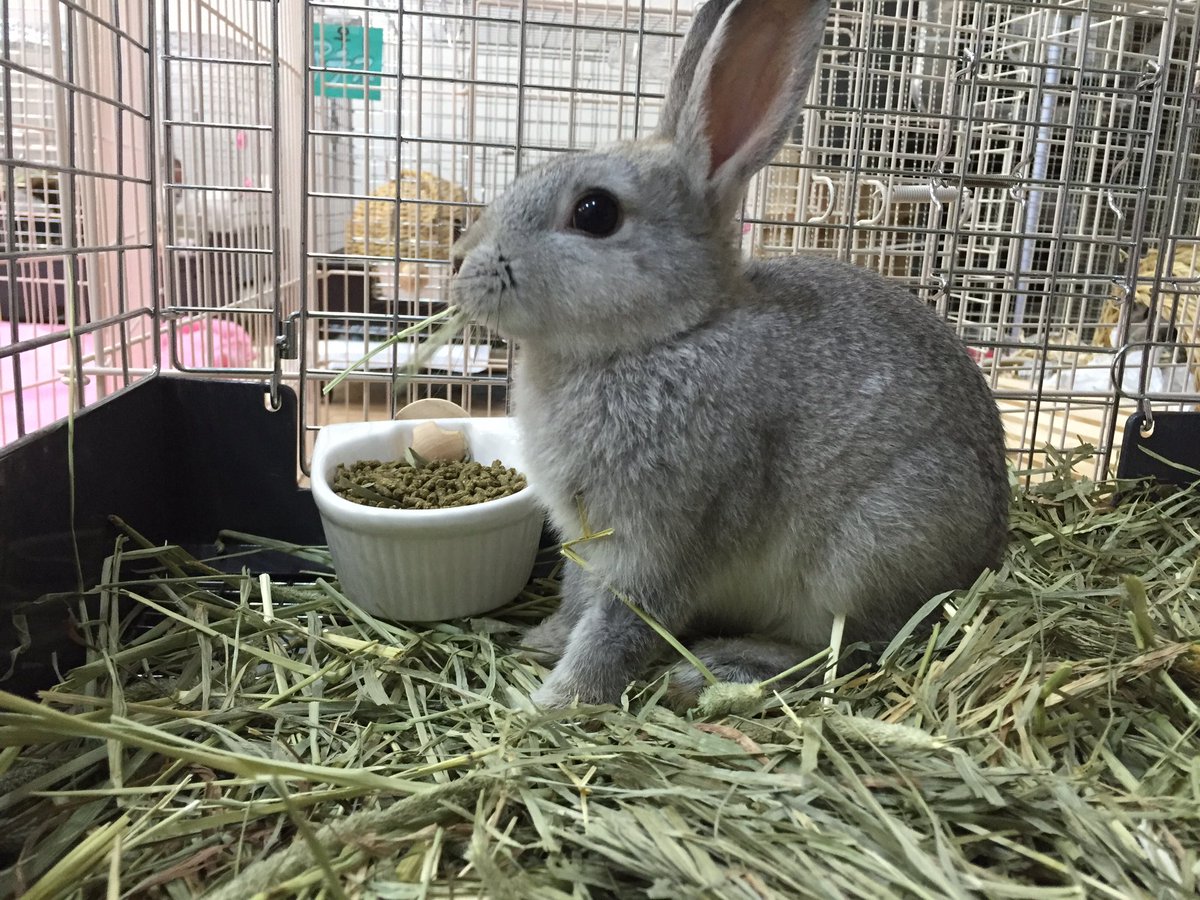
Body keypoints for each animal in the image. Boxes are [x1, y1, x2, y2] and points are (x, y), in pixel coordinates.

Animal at [450, 0, 1010, 709]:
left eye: (595, 212)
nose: (458, 262)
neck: (666, 336)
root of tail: (987, 555)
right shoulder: (587, 539)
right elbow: (581, 601)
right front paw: (544, 642)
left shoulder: (668, 535)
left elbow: (621, 625)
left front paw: (557, 702)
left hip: (871, 551)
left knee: (853, 651)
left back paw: (719, 668)